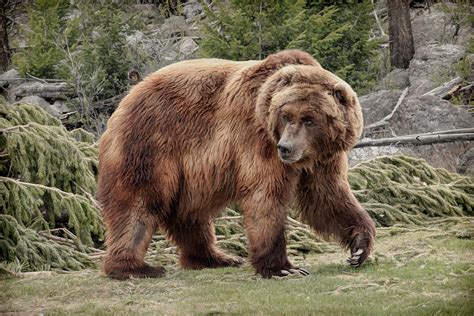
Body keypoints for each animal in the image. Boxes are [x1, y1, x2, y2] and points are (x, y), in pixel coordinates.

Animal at [98, 48, 376, 278]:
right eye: (286, 116)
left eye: (309, 119)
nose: (285, 147)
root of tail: (126, 99)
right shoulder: (258, 142)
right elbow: (265, 197)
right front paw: (282, 268)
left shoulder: (323, 159)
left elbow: (327, 196)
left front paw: (359, 247)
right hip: (150, 144)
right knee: (138, 204)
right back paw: (135, 267)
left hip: (188, 173)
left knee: (190, 214)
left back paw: (215, 257)